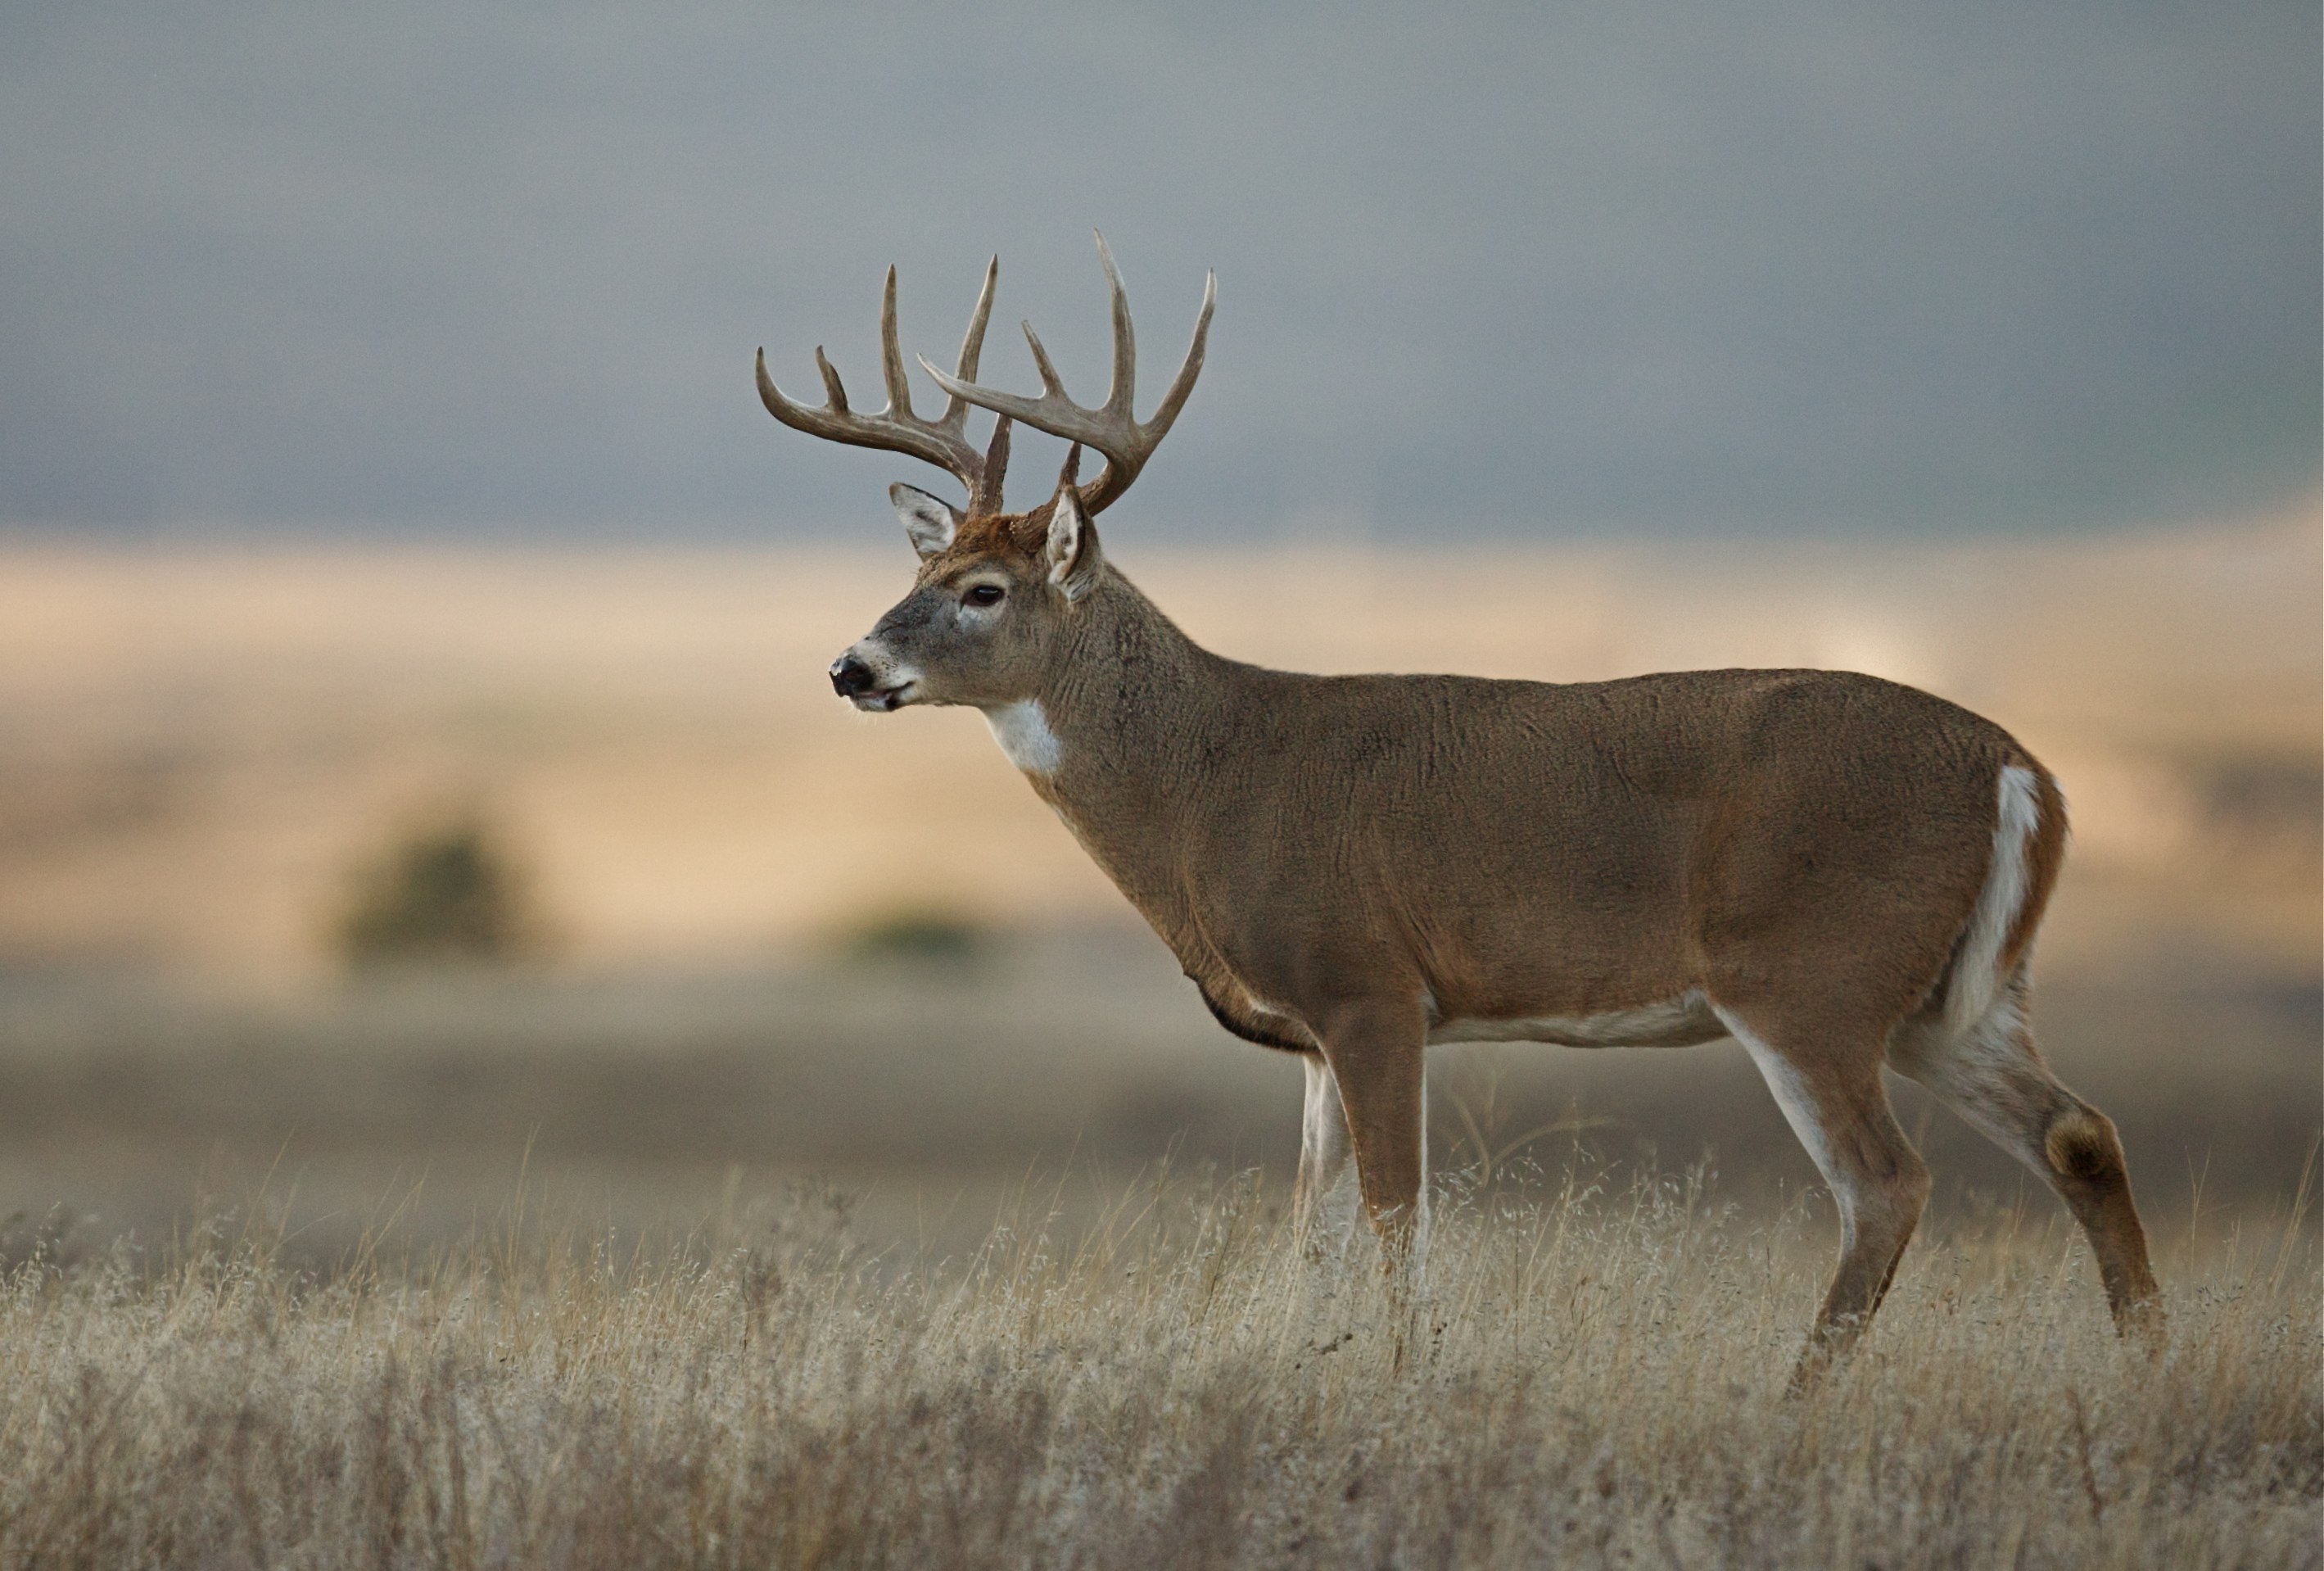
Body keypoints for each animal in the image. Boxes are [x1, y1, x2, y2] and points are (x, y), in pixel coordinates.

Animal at [762, 233, 2156, 1366]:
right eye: (921, 569)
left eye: (985, 590)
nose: (849, 667)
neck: (1211, 782)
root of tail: (2021, 769)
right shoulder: (1313, 1031)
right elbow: (1312, 1229)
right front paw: (1310, 1370)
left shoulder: (1371, 982)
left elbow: (1394, 1213)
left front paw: (1402, 1378)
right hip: (1947, 995)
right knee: (2079, 1131)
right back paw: (2141, 1364)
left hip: (1808, 972)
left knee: (1886, 1183)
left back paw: (1801, 1393)